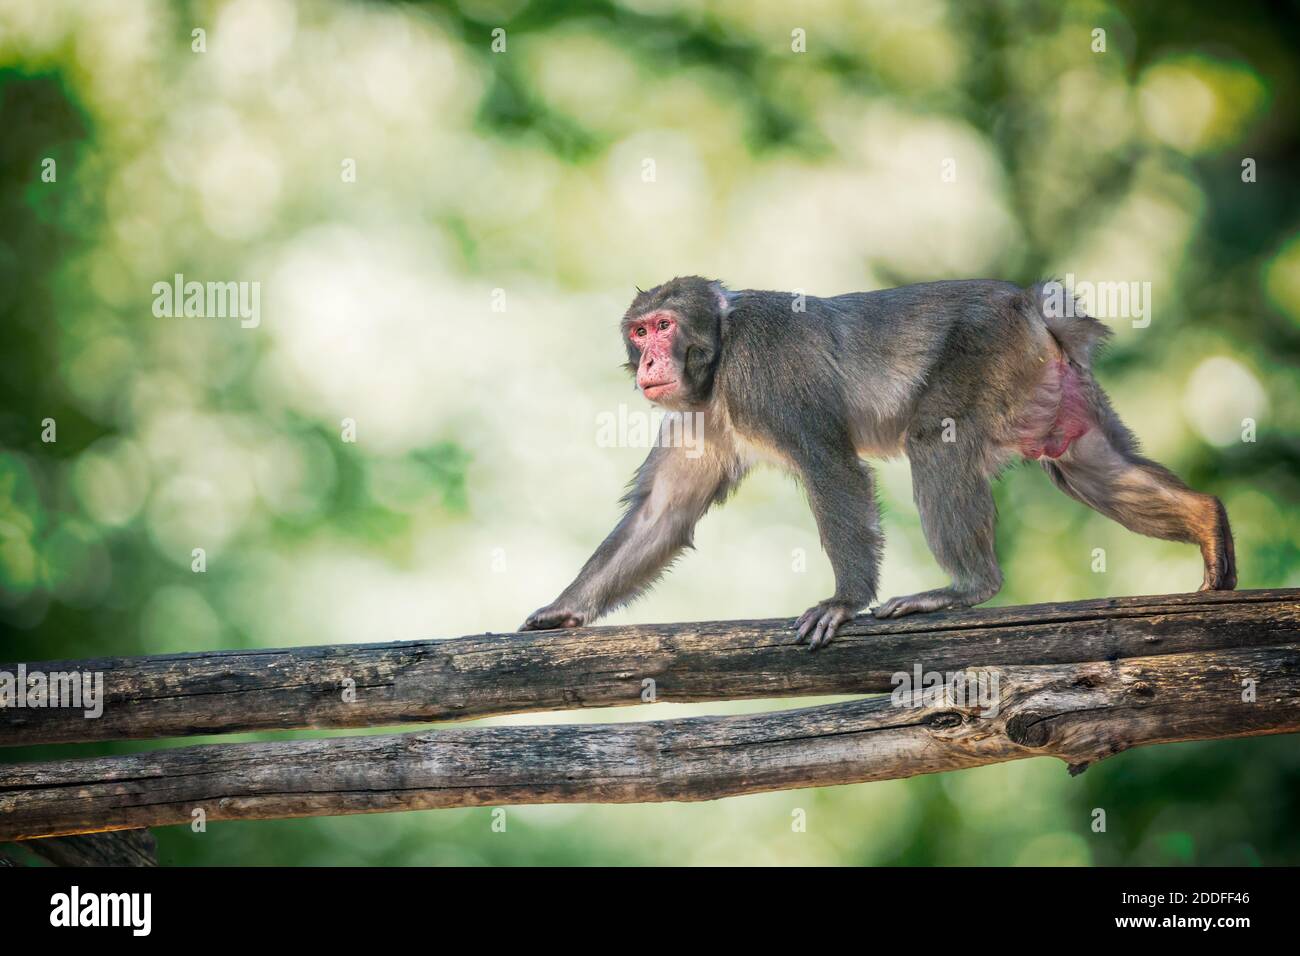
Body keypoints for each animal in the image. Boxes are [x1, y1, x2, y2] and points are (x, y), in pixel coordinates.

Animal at [520, 277, 1237, 650]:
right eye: (639, 331)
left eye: (664, 327)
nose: (647, 360)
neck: (720, 360)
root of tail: (1032, 303)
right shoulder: (700, 416)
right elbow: (664, 514)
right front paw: (565, 609)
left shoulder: (766, 370)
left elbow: (831, 466)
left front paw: (844, 601)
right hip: (1047, 383)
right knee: (1084, 461)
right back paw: (1207, 521)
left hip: (987, 347)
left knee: (934, 439)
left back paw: (966, 587)